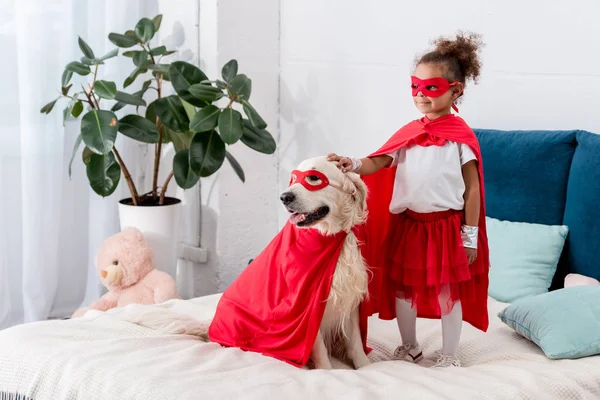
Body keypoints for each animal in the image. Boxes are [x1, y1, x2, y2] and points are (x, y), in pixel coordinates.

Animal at [113, 157, 370, 372]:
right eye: (293, 179)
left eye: (314, 178)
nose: (284, 197)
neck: (327, 240)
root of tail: (212, 325)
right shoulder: (307, 305)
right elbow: (319, 348)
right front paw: (327, 371)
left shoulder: (350, 299)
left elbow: (356, 342)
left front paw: (366, 368)